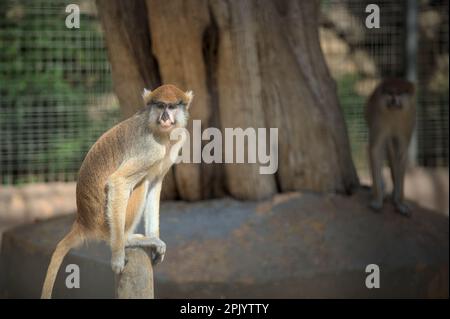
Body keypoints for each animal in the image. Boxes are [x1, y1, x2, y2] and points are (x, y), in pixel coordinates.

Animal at [42, 84, 195, 298]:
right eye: (160, 105)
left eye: (171, 106)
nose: (165, 118)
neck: (158, 130)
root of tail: (83, 221)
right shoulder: (152, 149)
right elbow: (118, 182)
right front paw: (117, 256)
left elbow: (155, 183)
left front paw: (155, 238)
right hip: (105, 223)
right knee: (140, 183)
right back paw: (127, 239)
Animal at [366, 77, 414, 218]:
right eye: (390, 92)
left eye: (398, 93)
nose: (393, 99)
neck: (394, 113)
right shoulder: (378, 119)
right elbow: (375, 150)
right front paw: (378, 198)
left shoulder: (408, 121)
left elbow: (402, 153)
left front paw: (400, 202)